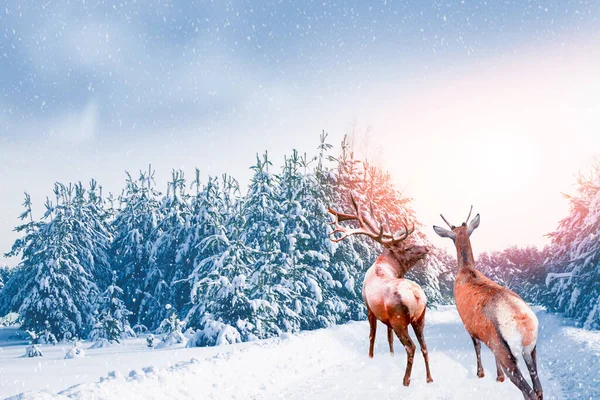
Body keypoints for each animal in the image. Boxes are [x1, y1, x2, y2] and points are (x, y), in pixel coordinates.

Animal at [328, 195, 432, 386]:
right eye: (407, 247)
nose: (426, 248)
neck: (385, 265)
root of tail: (416, 296)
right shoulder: (386, 318)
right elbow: (388, 336)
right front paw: (391, 354)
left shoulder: (368, 307)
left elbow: (372, 335)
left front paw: (370, 357)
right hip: (419, 317)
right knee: (424, 346)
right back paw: (429, 378)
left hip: (400, 319)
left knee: (411, 347)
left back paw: (405, 380)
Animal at [434, 208, 540, 398]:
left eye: (452, 236)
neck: (466, 270)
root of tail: (524, 325)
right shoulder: (490, 340)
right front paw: (499, 377)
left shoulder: (469, 326)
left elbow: (476, 348)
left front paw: (480, 373)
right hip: (530, 349)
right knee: (539, 389)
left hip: (506, 351)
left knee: (529, 392)